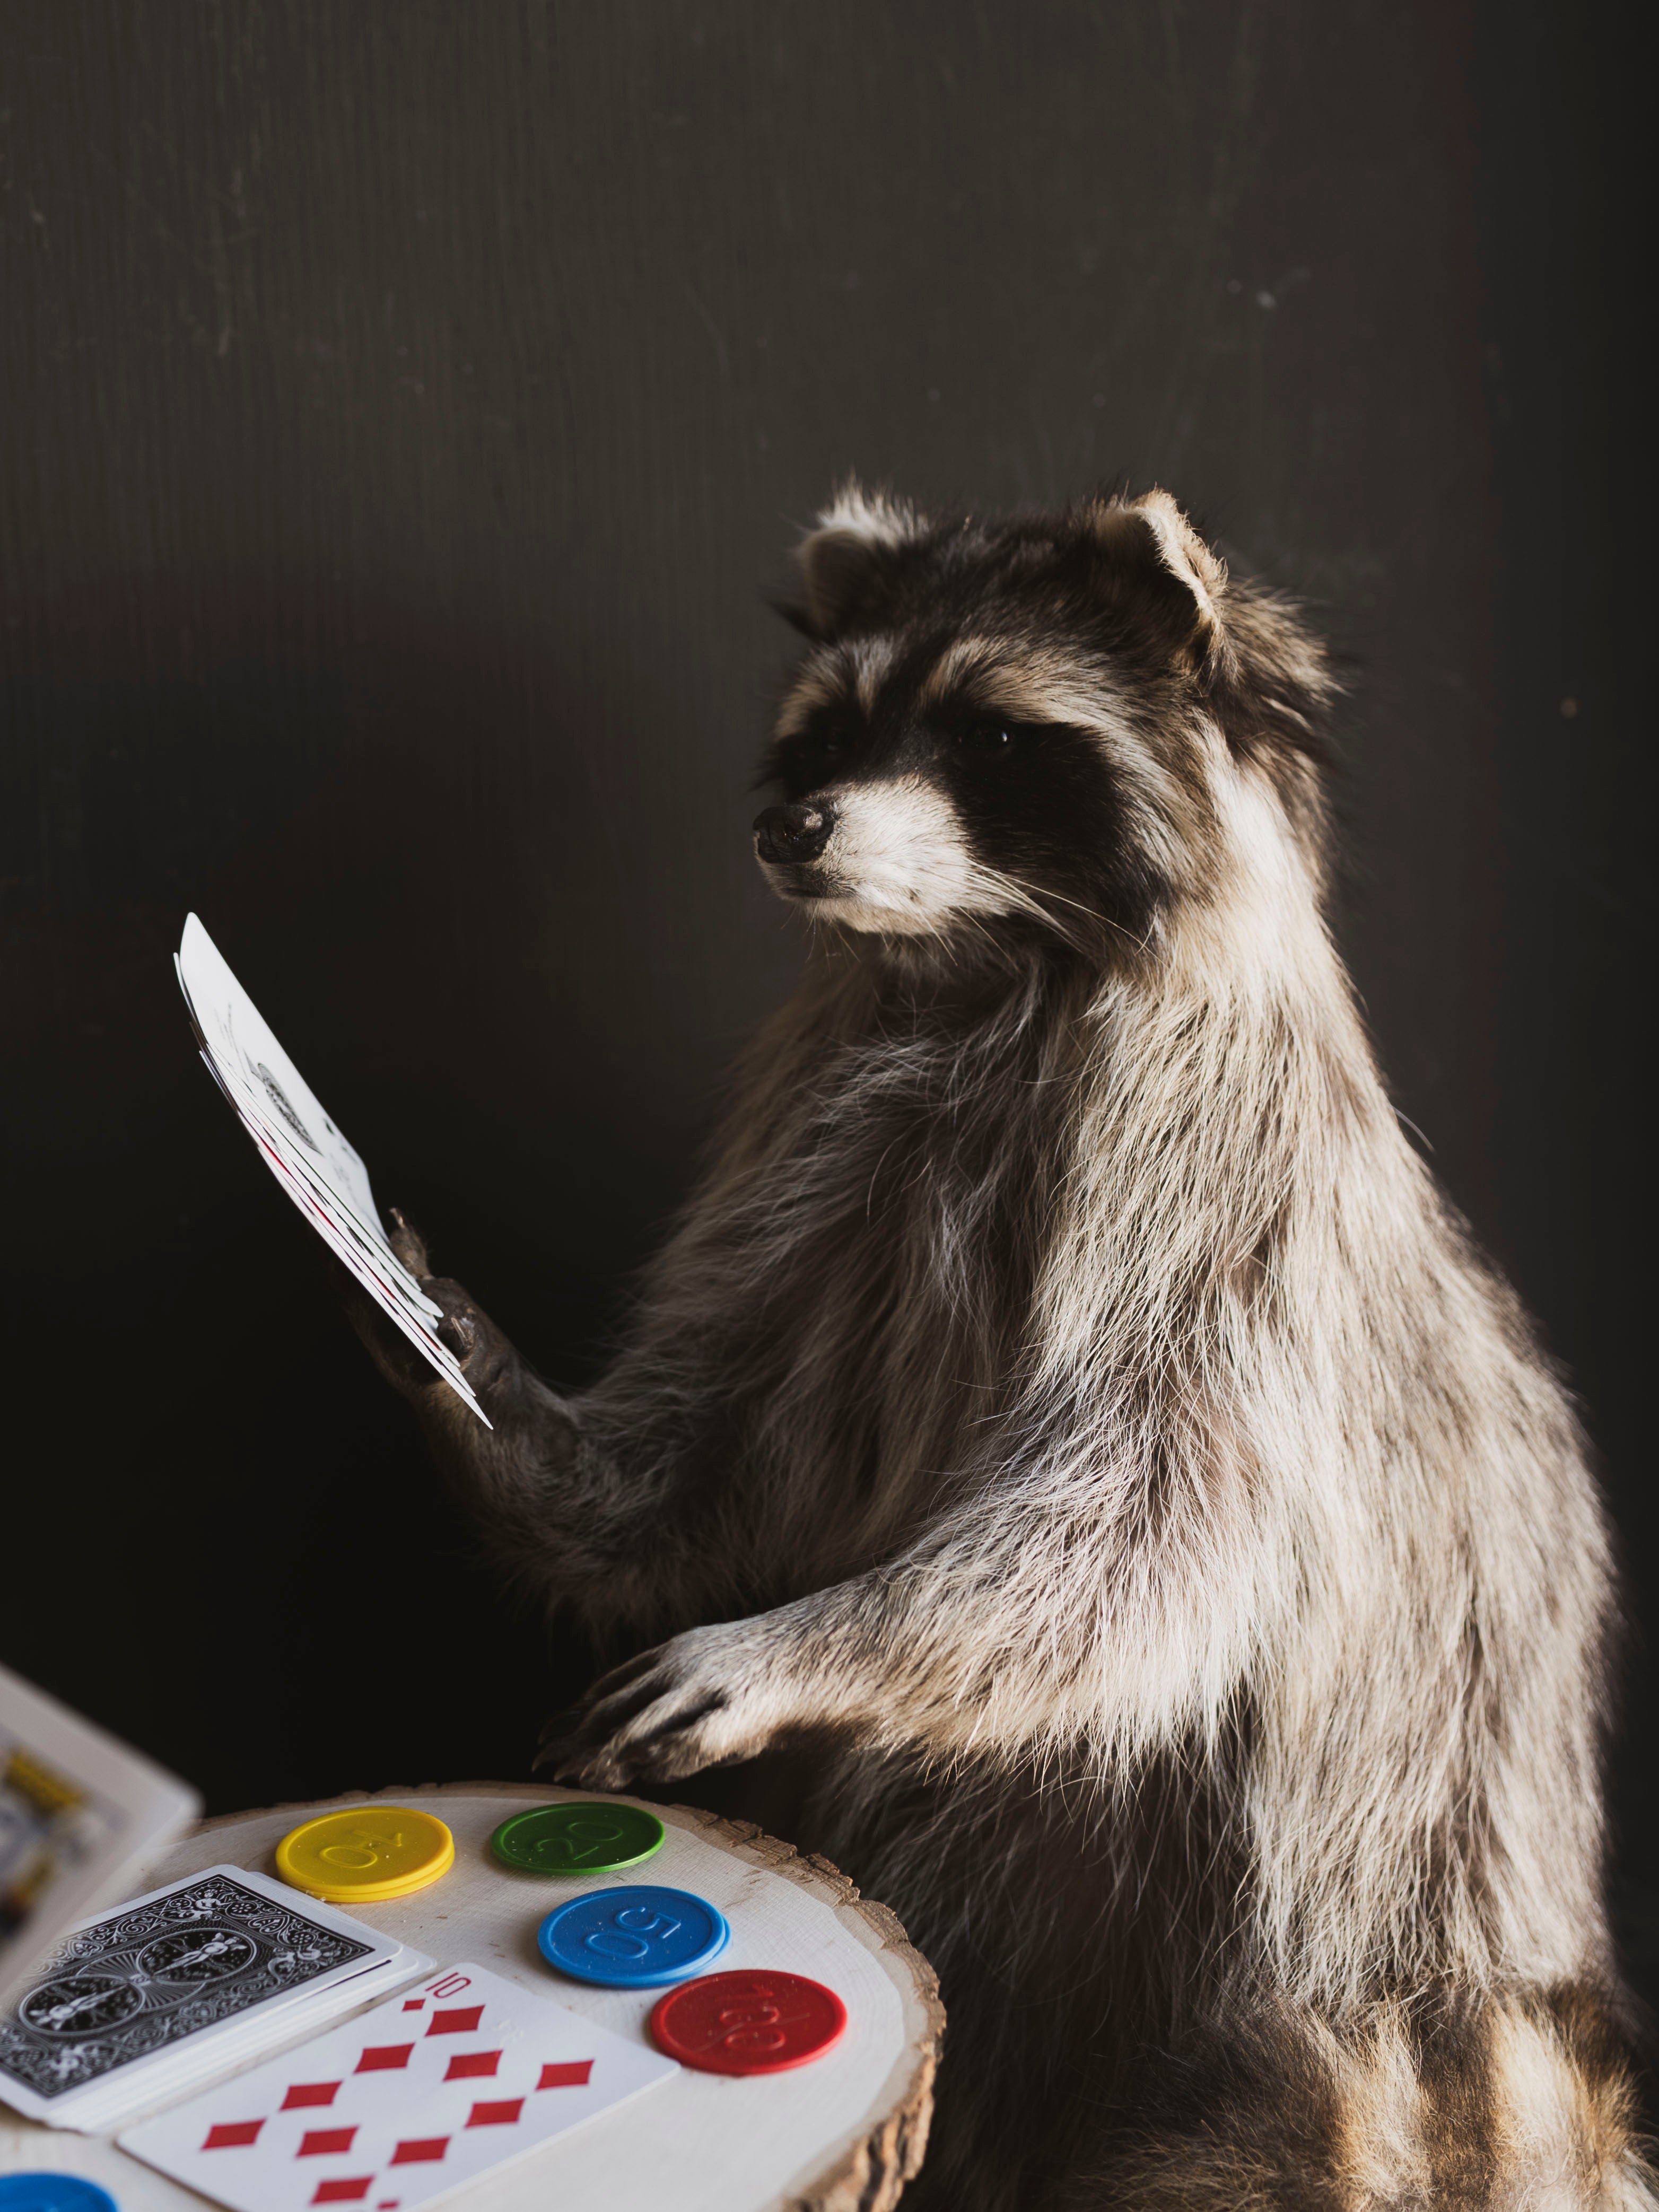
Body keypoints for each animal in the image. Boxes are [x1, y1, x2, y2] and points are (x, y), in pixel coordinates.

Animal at [346, 486, 1651, 2208]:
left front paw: (807, 1636)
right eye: (827, 735)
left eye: (989, 737)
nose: (793, 827)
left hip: (1369, 1940)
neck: (979, 967)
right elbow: (703, 1463)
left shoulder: (1222, 1209)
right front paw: (489, 1393)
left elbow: (1150, 1522)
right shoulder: (827, 1178)